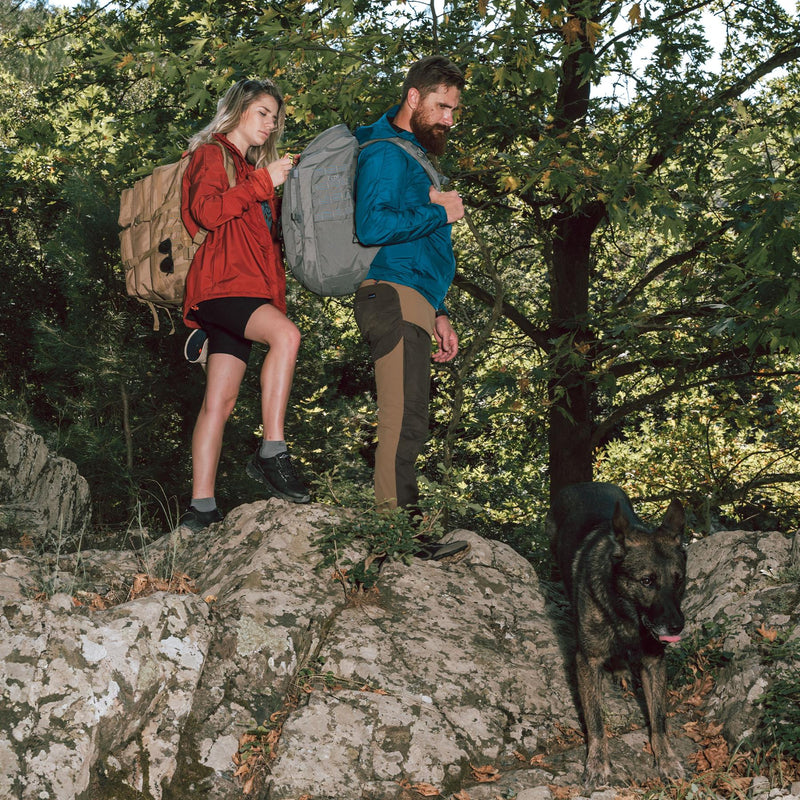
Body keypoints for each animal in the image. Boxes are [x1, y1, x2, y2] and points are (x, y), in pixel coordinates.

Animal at [552, 482, 688, 788]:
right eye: (647, 581)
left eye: (678, 580)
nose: (677, 626)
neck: (627, 615)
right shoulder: (587, 661)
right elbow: (595, 720)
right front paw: (597, 762)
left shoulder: (654, 662)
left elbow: (659, 719)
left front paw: (667, 759)